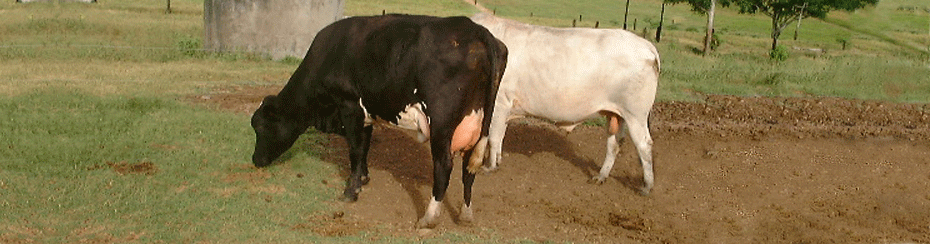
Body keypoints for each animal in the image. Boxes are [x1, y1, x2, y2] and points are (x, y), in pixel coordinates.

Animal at [248, 14, 508, 229]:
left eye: (261, 127)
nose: (256, 160)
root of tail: (474, 29)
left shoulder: (350, 106)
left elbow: (354, 149)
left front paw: (351, 190)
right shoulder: (366, 114)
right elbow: (364, 146)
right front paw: (364, 177)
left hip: (442, 123)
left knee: (444, 165)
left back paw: (429, 218)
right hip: (478, 122)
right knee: (468, 168)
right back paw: (465, 214)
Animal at [472, 13, 660, 194]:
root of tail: (646, 45)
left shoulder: (500, 103)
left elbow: (493, 137)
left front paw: (489, 166)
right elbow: (499, 136)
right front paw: (496, 161)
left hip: (635, 115)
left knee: (644, 145)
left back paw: (647, 186)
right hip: (616, 114)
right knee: (614, 143)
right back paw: (601, 176)